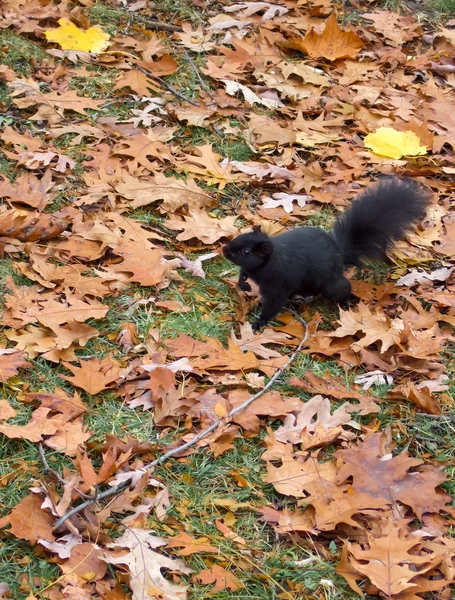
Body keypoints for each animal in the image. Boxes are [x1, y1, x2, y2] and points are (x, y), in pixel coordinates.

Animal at [224, 176, 432, 332]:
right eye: (240, 237)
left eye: (246, 251)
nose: (225, 250)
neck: (265, 265)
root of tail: (339, 252)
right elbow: (244, 273)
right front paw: (243, 282)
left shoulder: (277, 284)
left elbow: (273, 304)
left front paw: (260, 322)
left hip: (329, 283)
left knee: (343, 287)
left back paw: (345, 305)